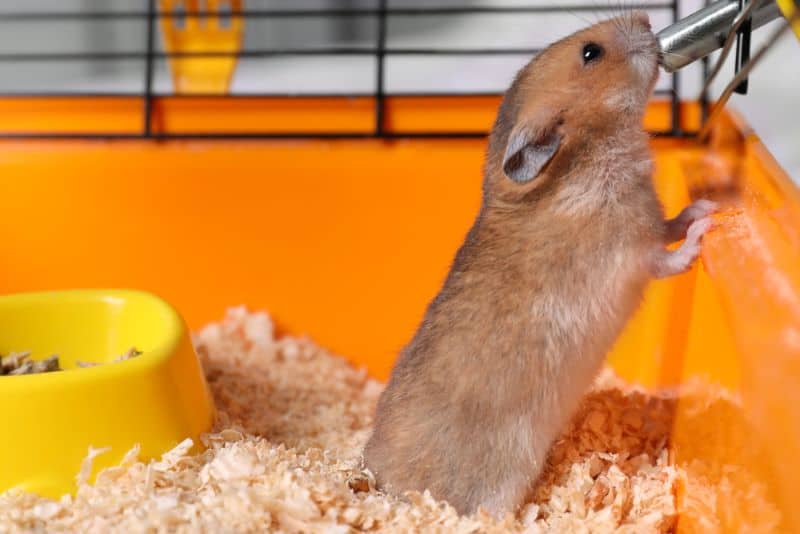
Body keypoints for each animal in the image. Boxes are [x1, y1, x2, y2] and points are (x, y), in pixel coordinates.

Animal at [362, 11, 717, 519]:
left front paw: (703, 207)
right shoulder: (630, 252)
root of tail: (375, 482)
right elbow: (670, 256)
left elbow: (671, 221)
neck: (587, 152)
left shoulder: (649, 221)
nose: (647, 19)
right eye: (591, 52)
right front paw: (704, 229)